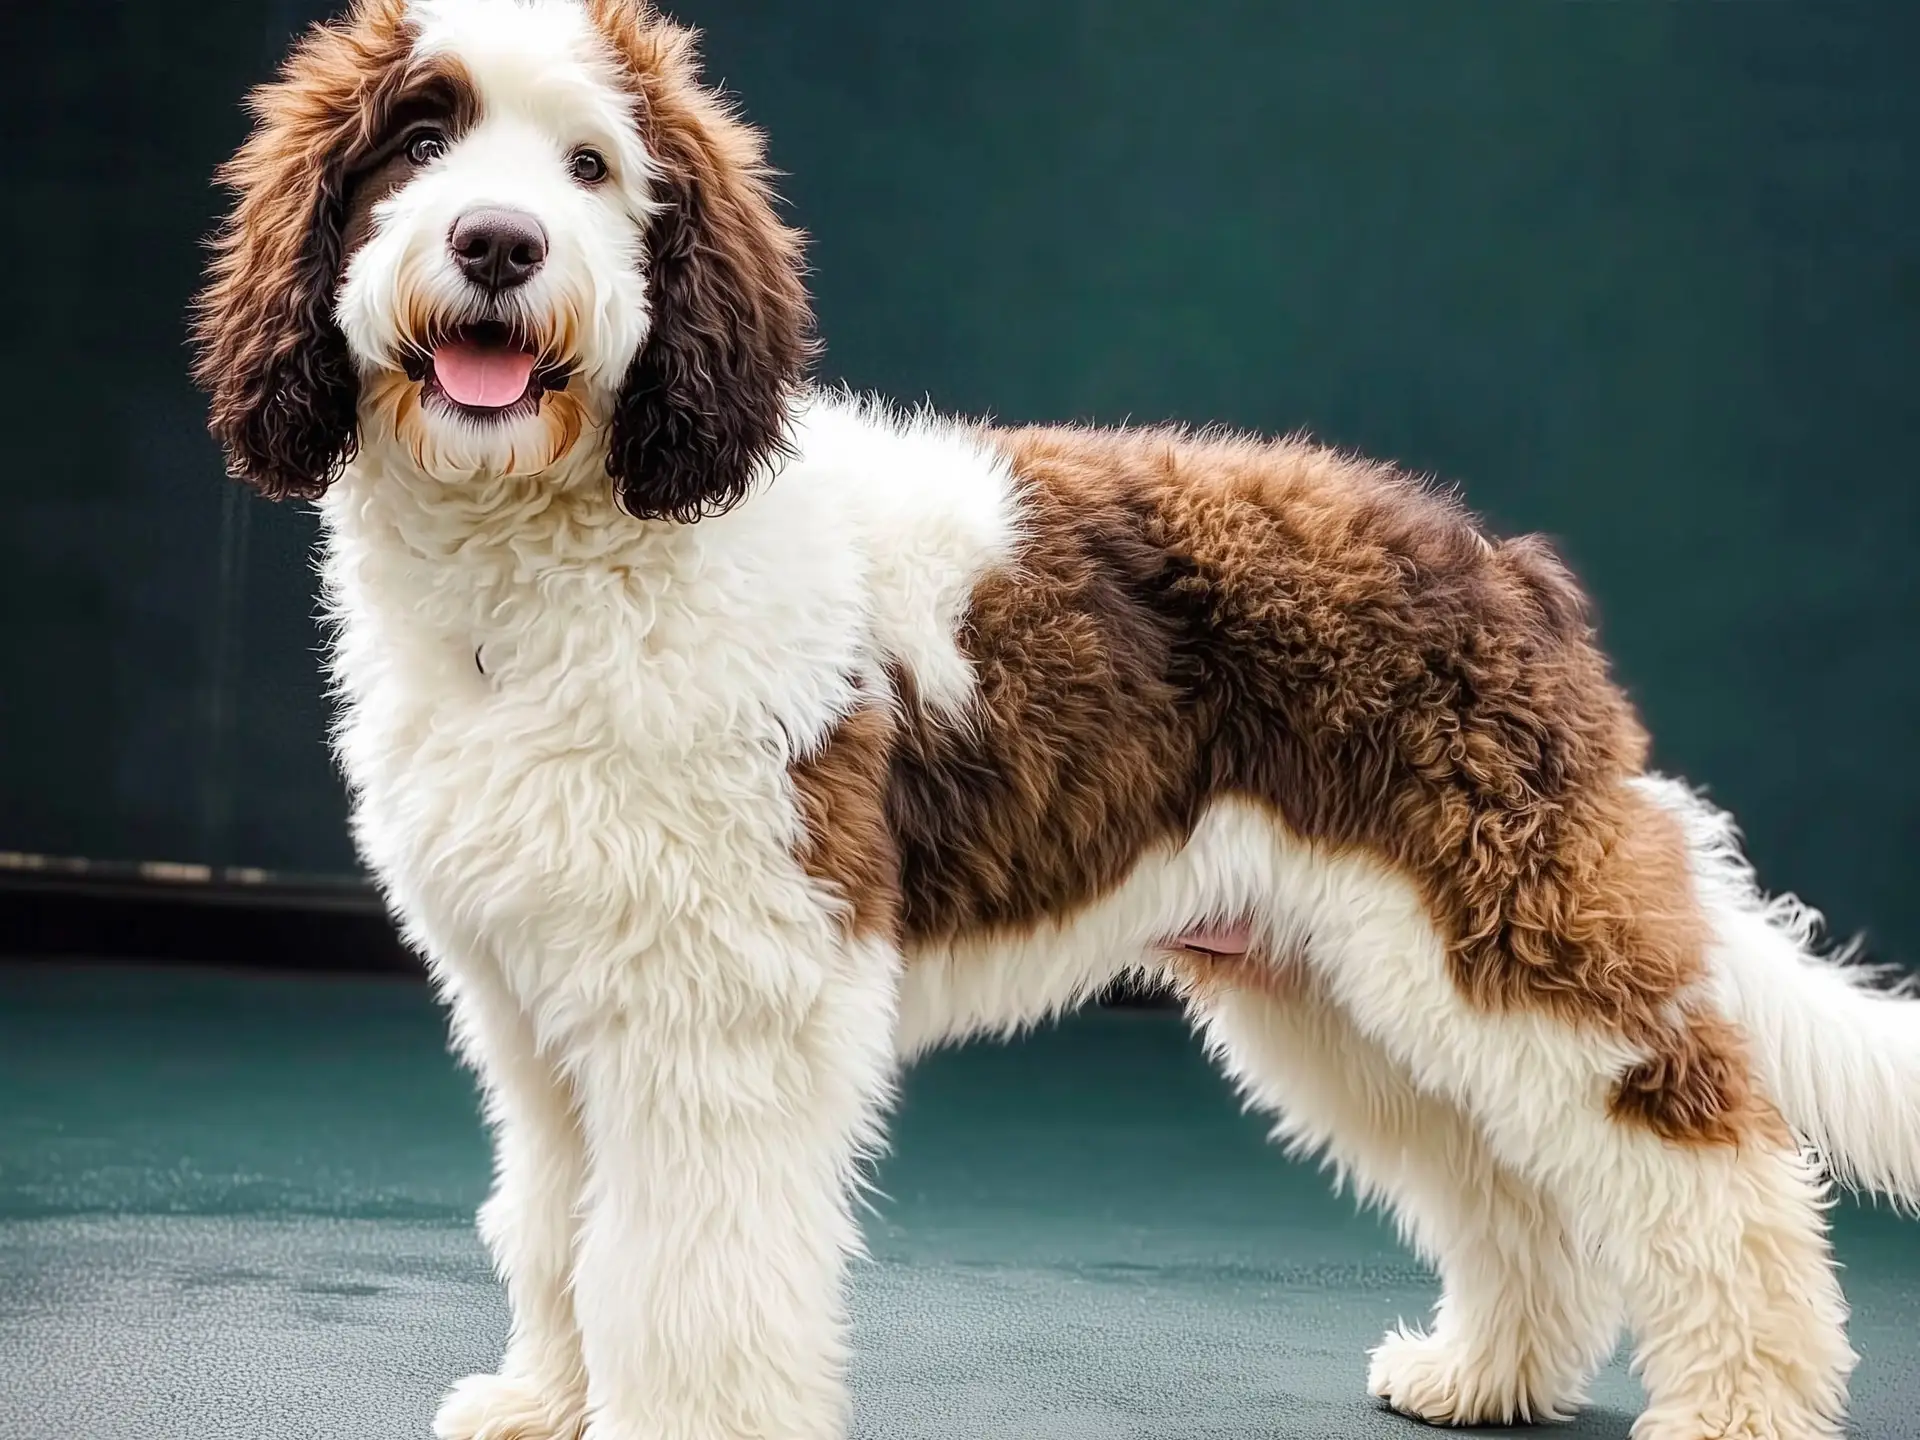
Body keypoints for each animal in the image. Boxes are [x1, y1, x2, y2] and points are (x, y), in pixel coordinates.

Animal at [198, 2, 1920, 1440]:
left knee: (1715, 1169)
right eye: (419, 141)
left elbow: (683, 1268)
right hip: (1343, 992)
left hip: (1506, 934)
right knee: (1520, 1196)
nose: (497, 242)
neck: (561, 557)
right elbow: (557, 1226)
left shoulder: (726, 1008)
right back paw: (1484, 1373)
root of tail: (1507, 569)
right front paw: (544, 1406)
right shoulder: (536, 1013)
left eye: (591, 166)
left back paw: (1741, 1408)